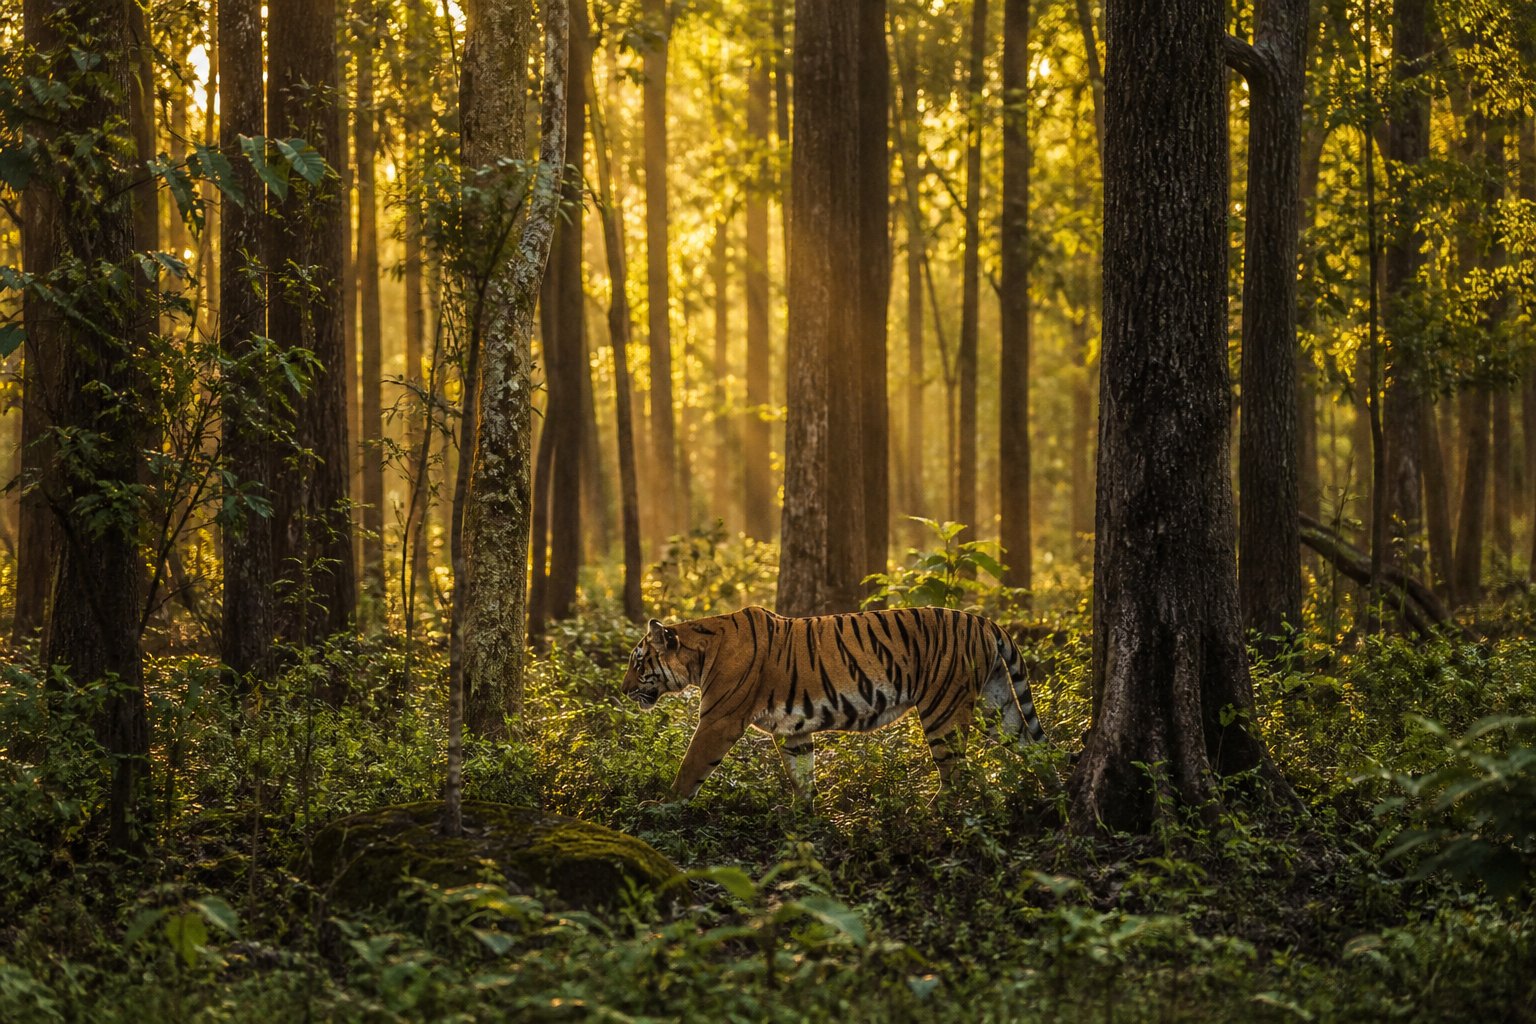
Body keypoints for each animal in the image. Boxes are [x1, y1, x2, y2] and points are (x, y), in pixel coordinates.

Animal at [621, 604, 1047, 801]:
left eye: (638, 663)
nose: (623, 691)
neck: (699, 654)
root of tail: (983, 620)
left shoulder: (717, 721)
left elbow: (689, 770)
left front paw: (662, 808)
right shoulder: (791, 730)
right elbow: (801, 773)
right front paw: (804, 817)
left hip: (944, 710)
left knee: (957, 776)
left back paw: (933, 814)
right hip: (997, 705)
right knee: (1033, 745)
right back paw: (1051, 791)